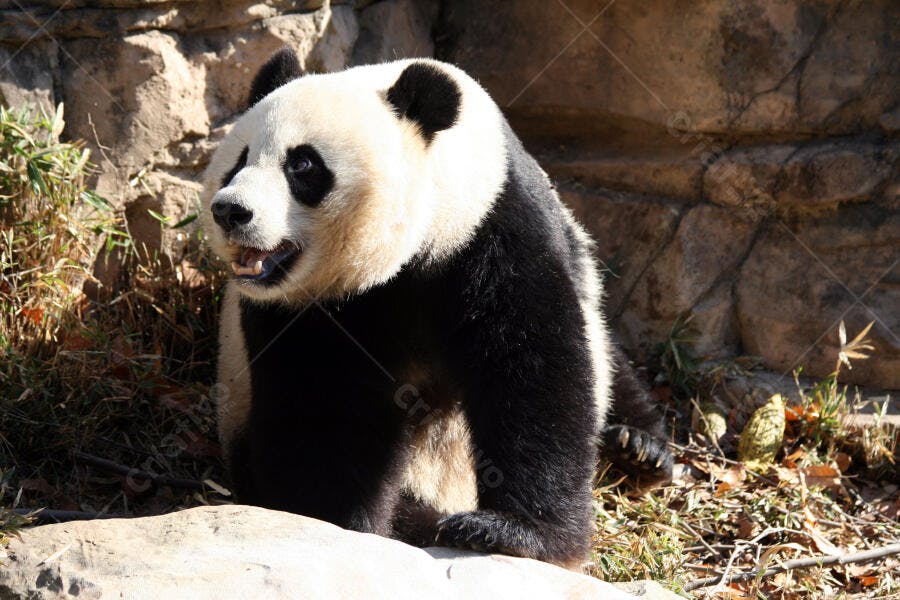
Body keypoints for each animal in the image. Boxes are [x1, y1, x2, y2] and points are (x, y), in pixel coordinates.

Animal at [202, 48, 672, 567]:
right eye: (239, 160)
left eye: (302, 164)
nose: (231, 210)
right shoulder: (300, 313)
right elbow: (320, 407)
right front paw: (348, 528)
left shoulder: (487, 228)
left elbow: (532, 370)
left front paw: (512, 532)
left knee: (607, 359)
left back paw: (639, 445)